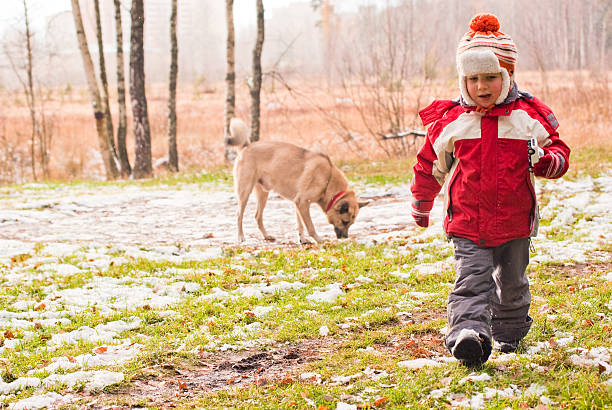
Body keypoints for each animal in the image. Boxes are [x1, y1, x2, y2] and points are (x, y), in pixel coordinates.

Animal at [227, 117, 366, 243]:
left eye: (351, 223)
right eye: (345, 221)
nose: (345, 238)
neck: (328, 179)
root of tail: (247, 146)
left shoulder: (298, 203)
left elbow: (300, 225)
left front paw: (302, 239)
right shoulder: (302, 202)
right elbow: (310, 227)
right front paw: (319, 240)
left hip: (263, 194)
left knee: (257, 216)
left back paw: (266, 236)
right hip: (245, 193)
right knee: (239, 215)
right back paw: (241, 237)